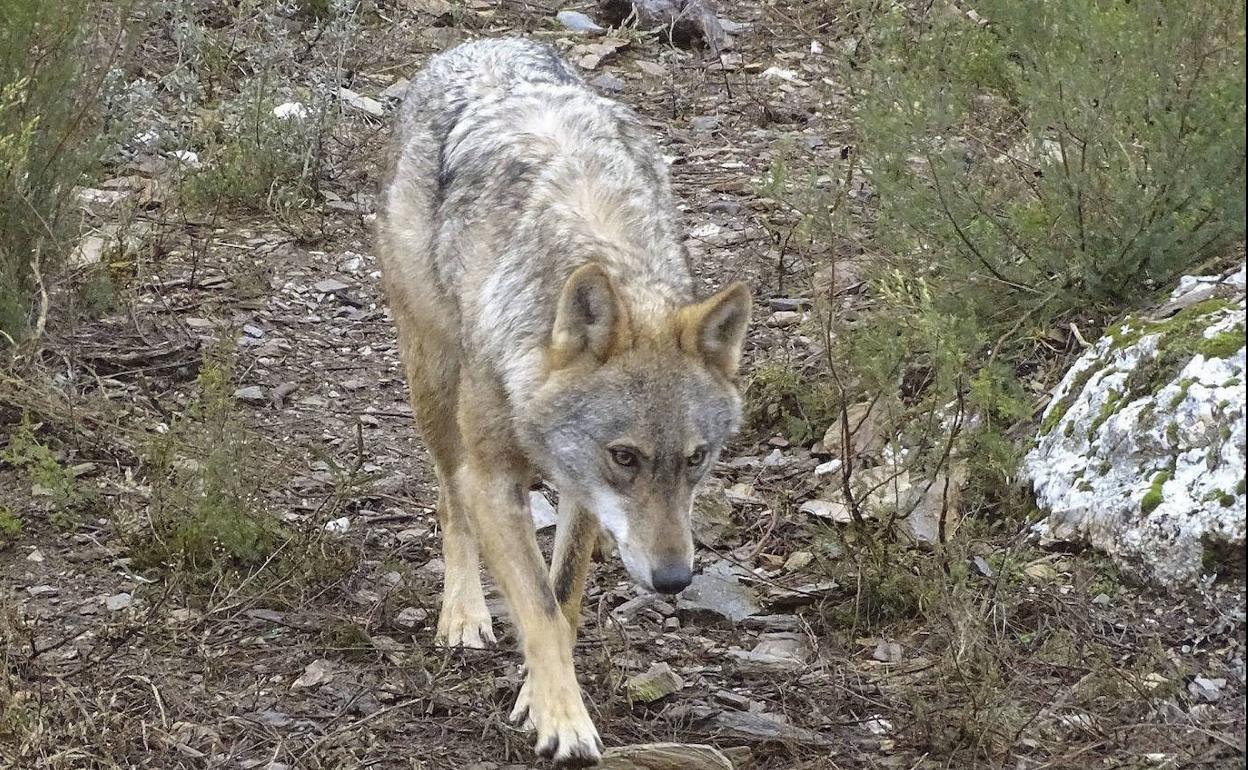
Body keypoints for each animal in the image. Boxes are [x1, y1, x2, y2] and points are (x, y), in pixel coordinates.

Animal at [374, 37, 748, 763]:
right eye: (625, 457)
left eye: (696, 460)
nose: (674, 581)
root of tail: (482, 43)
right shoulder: (494, 479)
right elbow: (539, 611)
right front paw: (565, 722)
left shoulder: (580, 490)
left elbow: (563, 597)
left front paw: (538, 697)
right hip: (432, 379)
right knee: (448, 500)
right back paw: (462, 614)